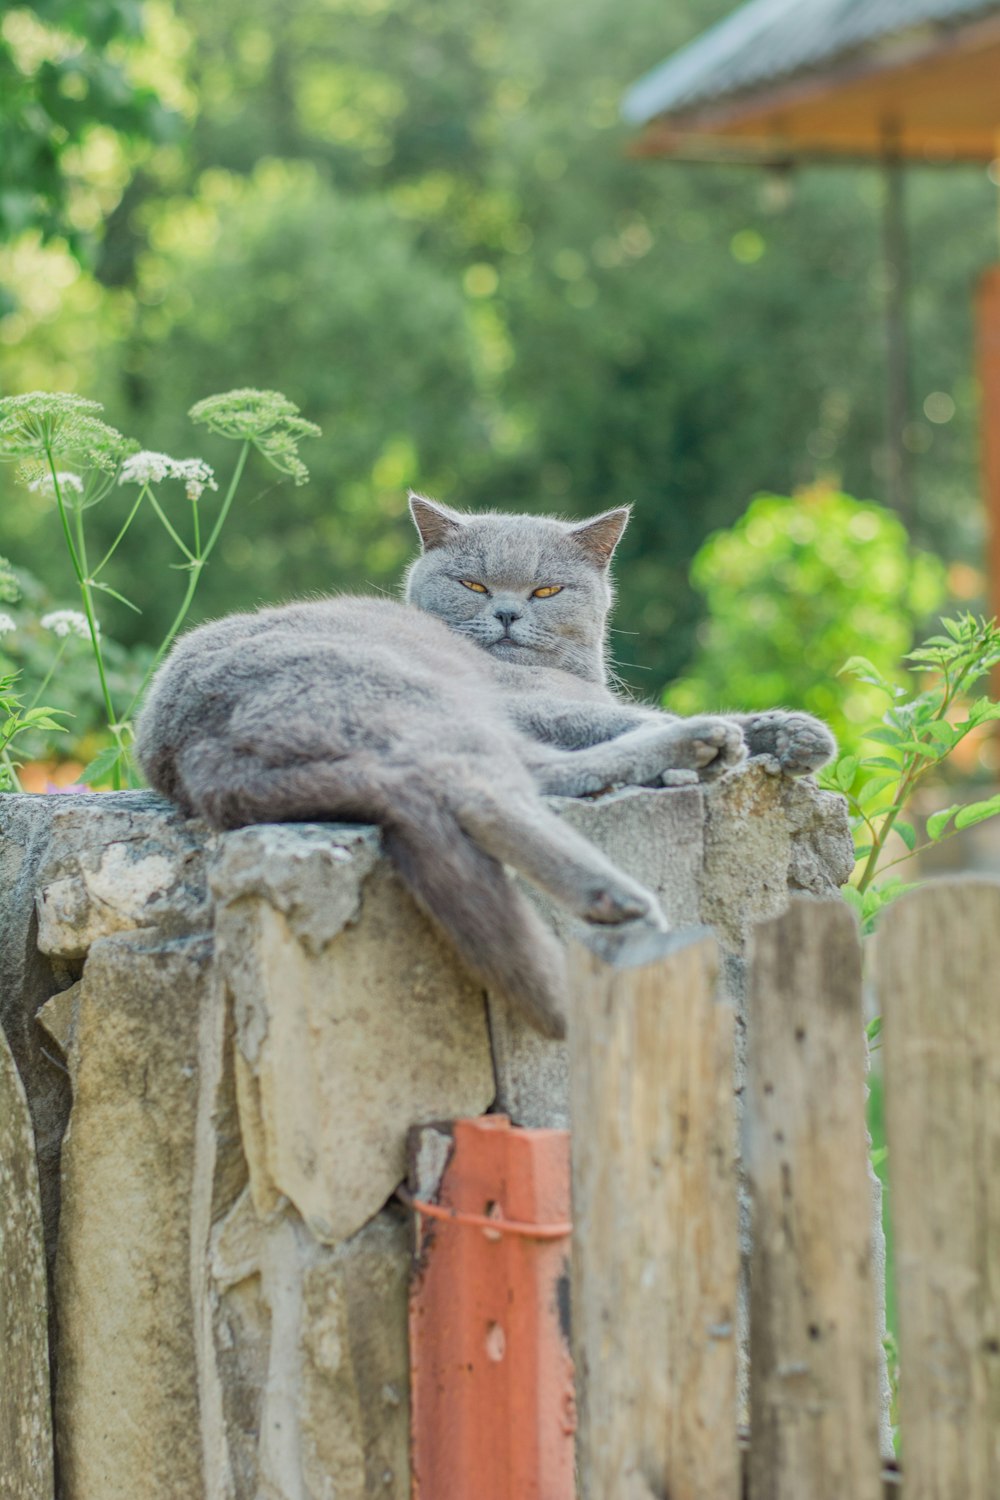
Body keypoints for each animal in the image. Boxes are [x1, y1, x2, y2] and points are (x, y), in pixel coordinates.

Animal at [134, 498, 839, 1038]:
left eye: (547, 589)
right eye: (473, 584)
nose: (506, 613)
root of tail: (194, 752)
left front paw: (793, 734)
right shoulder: (526, 699)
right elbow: (622, 716)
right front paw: (731, 733)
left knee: (534, 777)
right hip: (429, 698)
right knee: (493, 788)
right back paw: (643, 855)